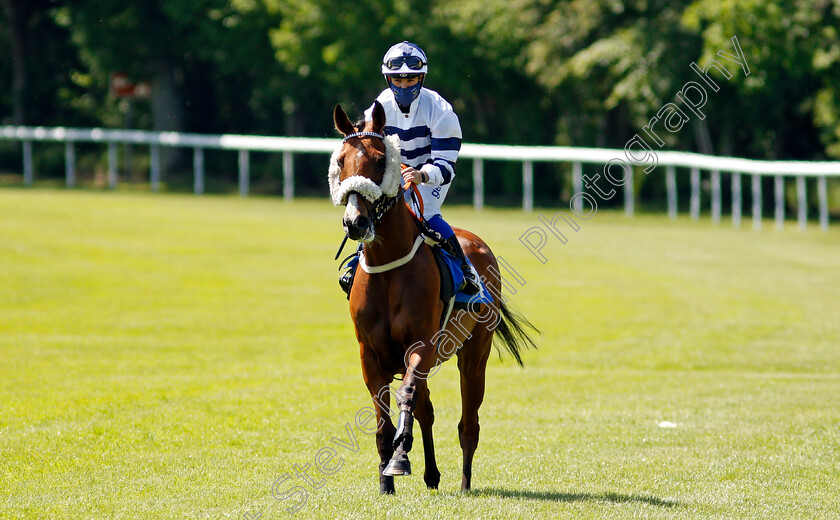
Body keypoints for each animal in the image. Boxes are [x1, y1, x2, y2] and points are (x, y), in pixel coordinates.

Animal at [330, 99, 540, 494]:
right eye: (341, 161)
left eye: (380, 161)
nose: (355, 222)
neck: (389, 268)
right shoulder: (370, 355)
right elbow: (383, 420)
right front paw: (386, 481)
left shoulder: (421, 344)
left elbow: (407, 396)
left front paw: (399, 459)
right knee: (427, 411)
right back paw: (430, 473)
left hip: (474, 354)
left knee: (468, 423)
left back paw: (464, 483)